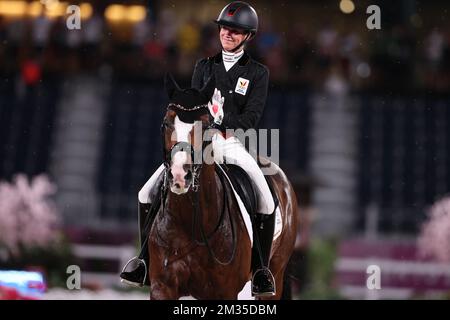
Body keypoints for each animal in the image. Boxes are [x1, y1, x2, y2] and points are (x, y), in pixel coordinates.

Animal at [149, 106, 298, 302]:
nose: (180, 175)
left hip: (276, 272)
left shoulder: (225, 291)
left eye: (204, 127)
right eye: (166, 124)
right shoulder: (162, 287)